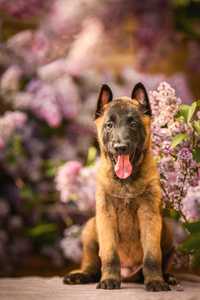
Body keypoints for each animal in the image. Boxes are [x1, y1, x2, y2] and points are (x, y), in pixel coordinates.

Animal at [63, 82, 177, 290]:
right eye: (109, 125)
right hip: (91, 228)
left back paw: (167, 276)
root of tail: (128, 274)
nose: (120, 147)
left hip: (166, 230)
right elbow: (109, 253)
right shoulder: (106, 214)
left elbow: (152, 255)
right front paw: (109, 279)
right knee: (92, 266)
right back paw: (80, 276)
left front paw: (155, 281)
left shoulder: (149, 215)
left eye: (133, 124)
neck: (126, 182)